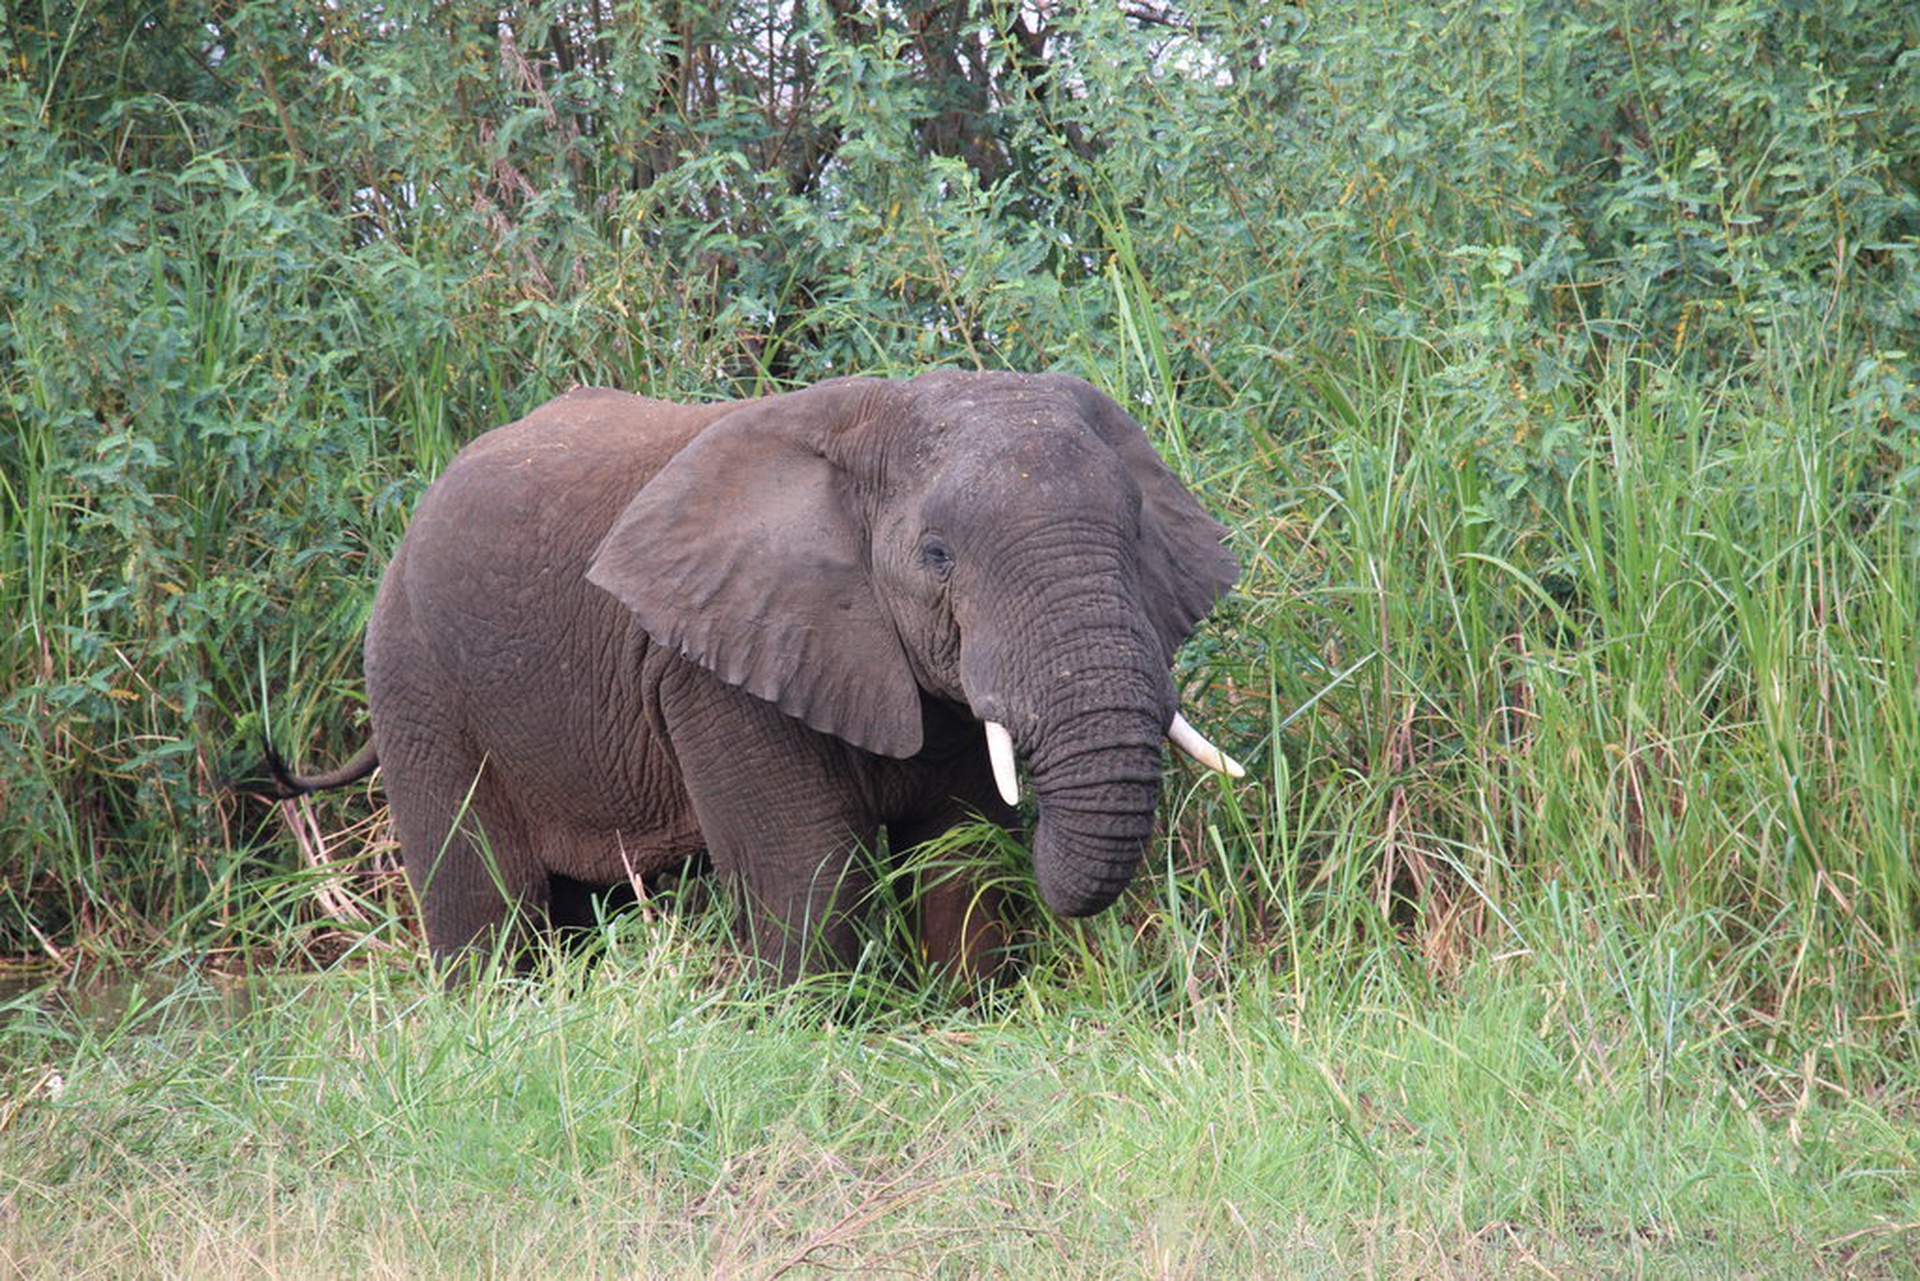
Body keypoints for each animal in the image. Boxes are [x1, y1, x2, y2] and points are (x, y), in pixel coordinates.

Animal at [270, 370, 1242, 982]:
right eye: (936, 556)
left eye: (1137, 535)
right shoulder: (715, 670)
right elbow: (809, 870)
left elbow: (959, 851)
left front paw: (976, 1013)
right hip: (417, 681)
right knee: (490, 908)